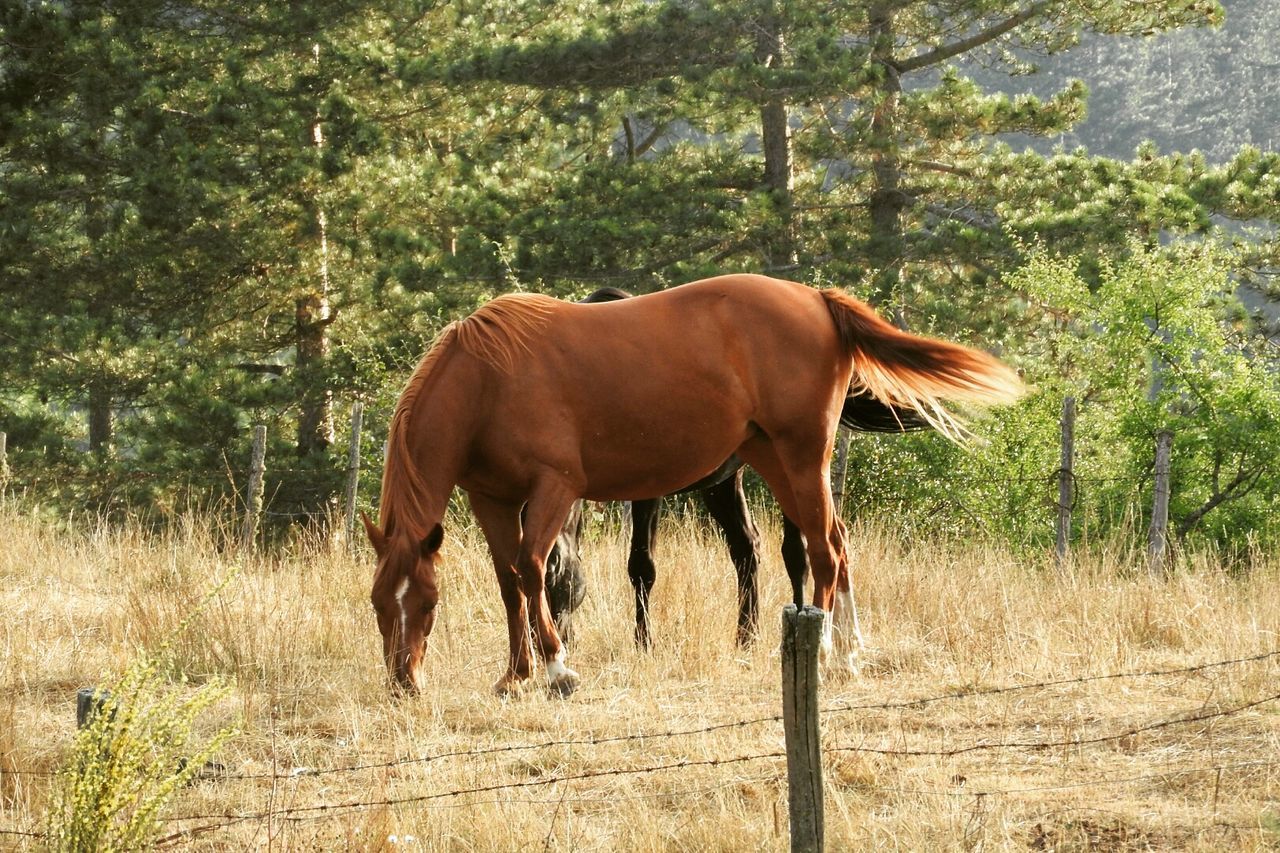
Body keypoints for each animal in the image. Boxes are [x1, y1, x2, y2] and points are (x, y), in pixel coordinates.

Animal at [360, 275, 1018, 696]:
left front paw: (557, 670)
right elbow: (508, 582)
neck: (489, 380)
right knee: (833, 542)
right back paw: (853, 654)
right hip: (772, 460)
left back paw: (829, 652)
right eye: (377, 605)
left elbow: (531, 568)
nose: (402, 682)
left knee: (824, 551)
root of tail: (815, 298)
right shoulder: (492, 499)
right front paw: (514, 674)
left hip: (802, 457)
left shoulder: (555, 490)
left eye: (425, 604)